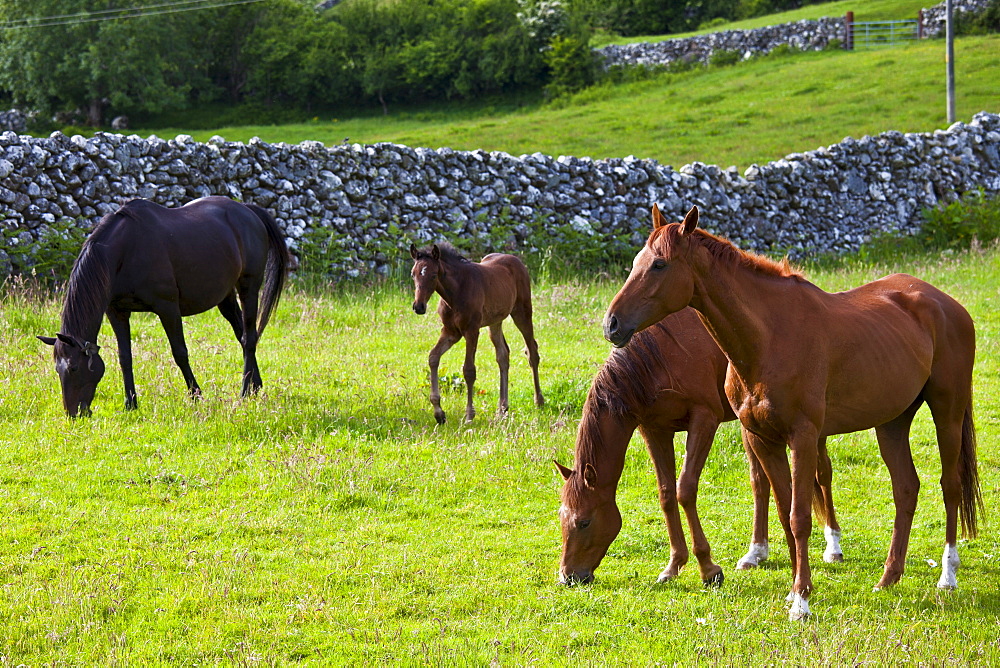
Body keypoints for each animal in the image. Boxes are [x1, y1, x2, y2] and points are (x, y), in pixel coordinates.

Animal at [38, 196, 290, 418]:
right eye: (57, 369)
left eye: (73, 368)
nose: (74, 414)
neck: (125, 251)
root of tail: (247, 210)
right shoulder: (117, 312)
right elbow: (125, 357)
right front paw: (130, 404)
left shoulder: (167, 308)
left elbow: (180, 353)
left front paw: (196, 396)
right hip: (225, 296)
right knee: (243, 335)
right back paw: (255, 386)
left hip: (248, 287)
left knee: (249, 337)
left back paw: (245, 391)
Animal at [408, 243, 544, 426]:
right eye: (413, 274)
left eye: (433, 275)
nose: (419, 306)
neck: (456, 292)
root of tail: (516, 260)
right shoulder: (450, 332)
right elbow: (433, 357)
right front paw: (439, 413)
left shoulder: (472, 331)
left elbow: (469, 370)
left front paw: (469, 415)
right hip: (495, 322)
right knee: (503, 355)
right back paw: (502, 409)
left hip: (522, 312)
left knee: (532, 352)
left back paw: (539, 401)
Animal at [556, 306, 844, 584]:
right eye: (561, 517)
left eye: (584, 522)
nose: (568, 577)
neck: (656, 359)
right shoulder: (655, 430)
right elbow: (666, 495)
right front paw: (674, 565)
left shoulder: (704, 420)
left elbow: (685, 489)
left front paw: (708, 568)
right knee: (760, 482)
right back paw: (756, 552)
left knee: (822, 473)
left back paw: (833, 546)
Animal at [604, 205, 980, 620]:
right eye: (636, 262)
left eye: (659, 264)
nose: (612, 323)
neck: (769, 337)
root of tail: (946, 304)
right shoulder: (762, 439)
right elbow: (784, 510)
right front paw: (795, 587)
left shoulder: (802, 437)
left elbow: (800, 517)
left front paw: (801, 599)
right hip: (892, 422)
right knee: (906, 488)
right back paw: (889, 577)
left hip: (947, 412)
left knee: (950, 486)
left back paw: (947, 576)